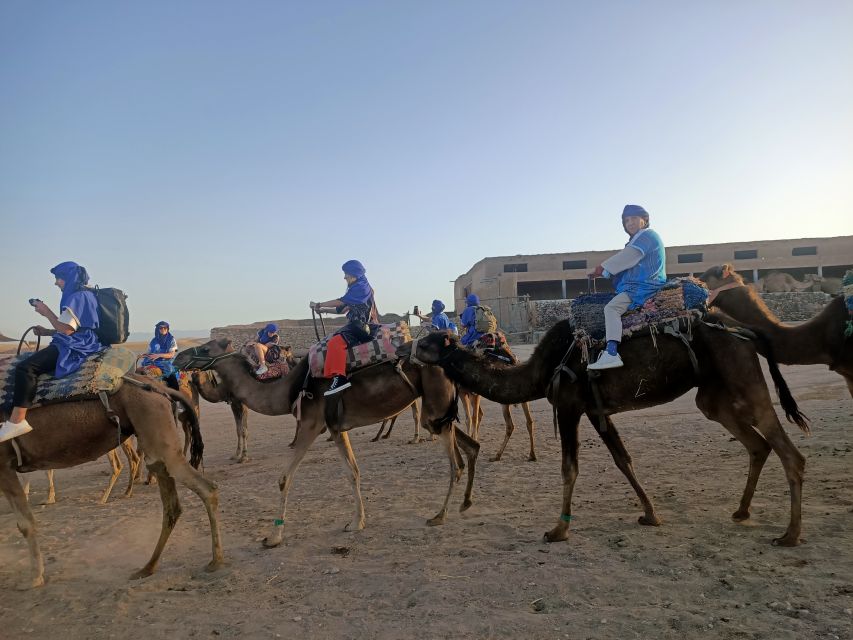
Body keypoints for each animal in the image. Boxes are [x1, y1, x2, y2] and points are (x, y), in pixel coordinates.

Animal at [0, 376, 223, 592]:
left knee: (207, 488)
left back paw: (216, 562)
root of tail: (161, 389)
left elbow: (25, 524)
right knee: (171, 505)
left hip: (159, 437)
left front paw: (34, 578)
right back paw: (147, 567)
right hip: (154, 446)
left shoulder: (4, 464)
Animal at [172, 340, 480, 544]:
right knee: (470, 448)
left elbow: (284, 478)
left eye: (207, 348)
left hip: (436, 408)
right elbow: (353, 472)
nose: (177, 358)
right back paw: (465, 503)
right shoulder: (336, 428)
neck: (287, 388)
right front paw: (356, 522)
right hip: (438, 413)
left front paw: (274, 535)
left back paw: (440, 515)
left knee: (455, 463)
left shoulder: (310, 425)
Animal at [410, 316, 808, 544]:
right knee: (757, 445)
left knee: (789, 451)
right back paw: (741, 512)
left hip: (740, 373)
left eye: (427, 341)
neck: (541, 370)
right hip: (712, 396)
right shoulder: (595, 409)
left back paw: (790, 534)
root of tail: (745, 331)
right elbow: (623, 459)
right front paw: (651, 514)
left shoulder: (569, 406)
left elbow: (569, 468)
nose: (402, 350)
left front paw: (558, 530)